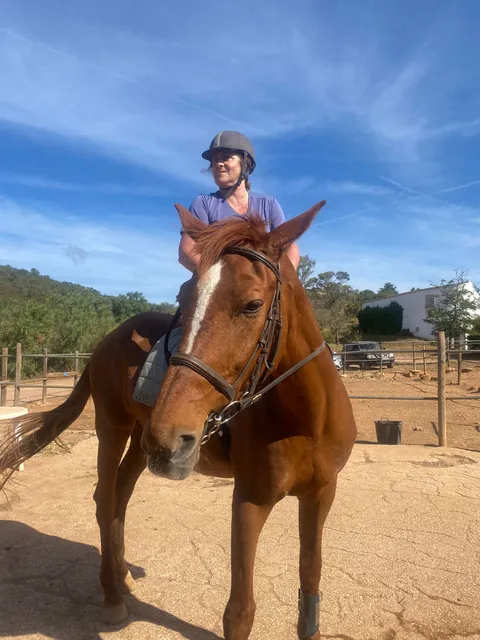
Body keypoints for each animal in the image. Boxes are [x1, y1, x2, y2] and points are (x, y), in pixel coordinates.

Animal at [0, 201, 357, 640]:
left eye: (253, 305)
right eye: (183, 299)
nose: (173, 432)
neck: (304, 420)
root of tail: (103, 343)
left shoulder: (321, 494)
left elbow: (310, 584)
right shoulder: (250, 498)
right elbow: (239, 614)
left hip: (144, 441)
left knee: (120, 494)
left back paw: (122, 577)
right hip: (115, 429)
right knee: (105, 498)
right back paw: (112, 597)